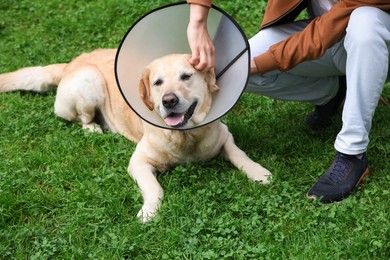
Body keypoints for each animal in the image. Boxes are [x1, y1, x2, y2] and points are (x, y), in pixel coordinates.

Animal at [0, 49, 272, 223]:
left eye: (186, 76)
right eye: (157, 82)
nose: (169, 100)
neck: (185, 137)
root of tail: (72, 62)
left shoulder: (224, 134)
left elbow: (239, 154)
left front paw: (259, 173)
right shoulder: (139, 162)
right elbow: (154, 188)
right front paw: (149, 212)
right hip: (90, 81)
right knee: (83, 119)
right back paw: (94, 129)